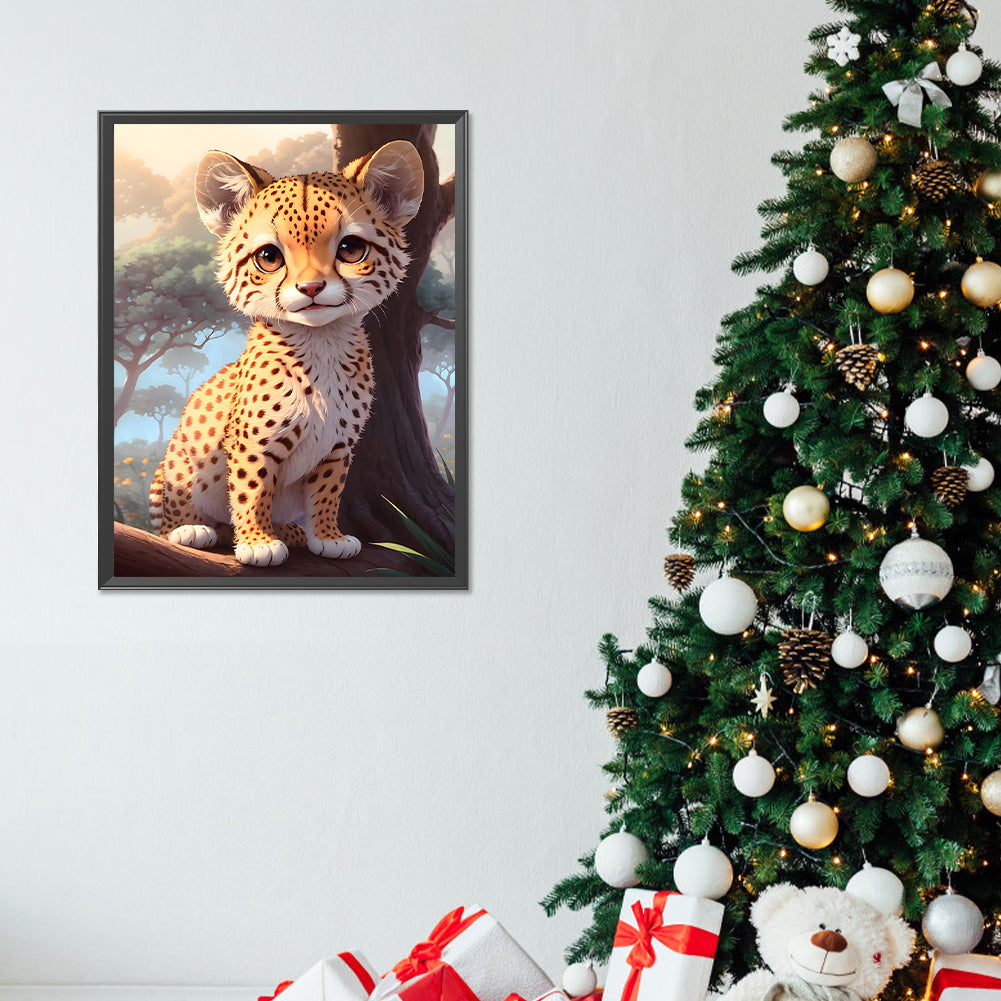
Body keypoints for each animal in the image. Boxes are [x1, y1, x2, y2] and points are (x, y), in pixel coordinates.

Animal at [148, 140, 424, 567]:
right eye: (269, 257)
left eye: (351, 248)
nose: (311, 288)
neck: (320, 342)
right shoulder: (252, 444)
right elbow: (252, 490)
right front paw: (257, 542)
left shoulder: (337, 449)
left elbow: (327, 493)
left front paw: (326, 536)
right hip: (179, 461)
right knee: (173, 509)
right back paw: (191, 529)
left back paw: (290, 531)